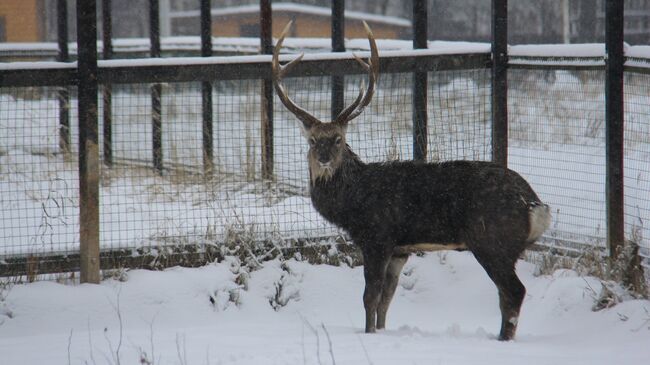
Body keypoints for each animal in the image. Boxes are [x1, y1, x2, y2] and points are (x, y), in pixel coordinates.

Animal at [270, 21, 548, 340]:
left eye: (338, 139)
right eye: (313, 140)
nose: (324, 158)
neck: (352, 203)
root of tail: (534, 204)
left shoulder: (377, 237)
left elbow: (370, 297)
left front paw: (368, 333)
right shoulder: (400, 250)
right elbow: (386, 300)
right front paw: (380, 330)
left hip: (492, 240)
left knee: (513, 291)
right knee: (507, 294)